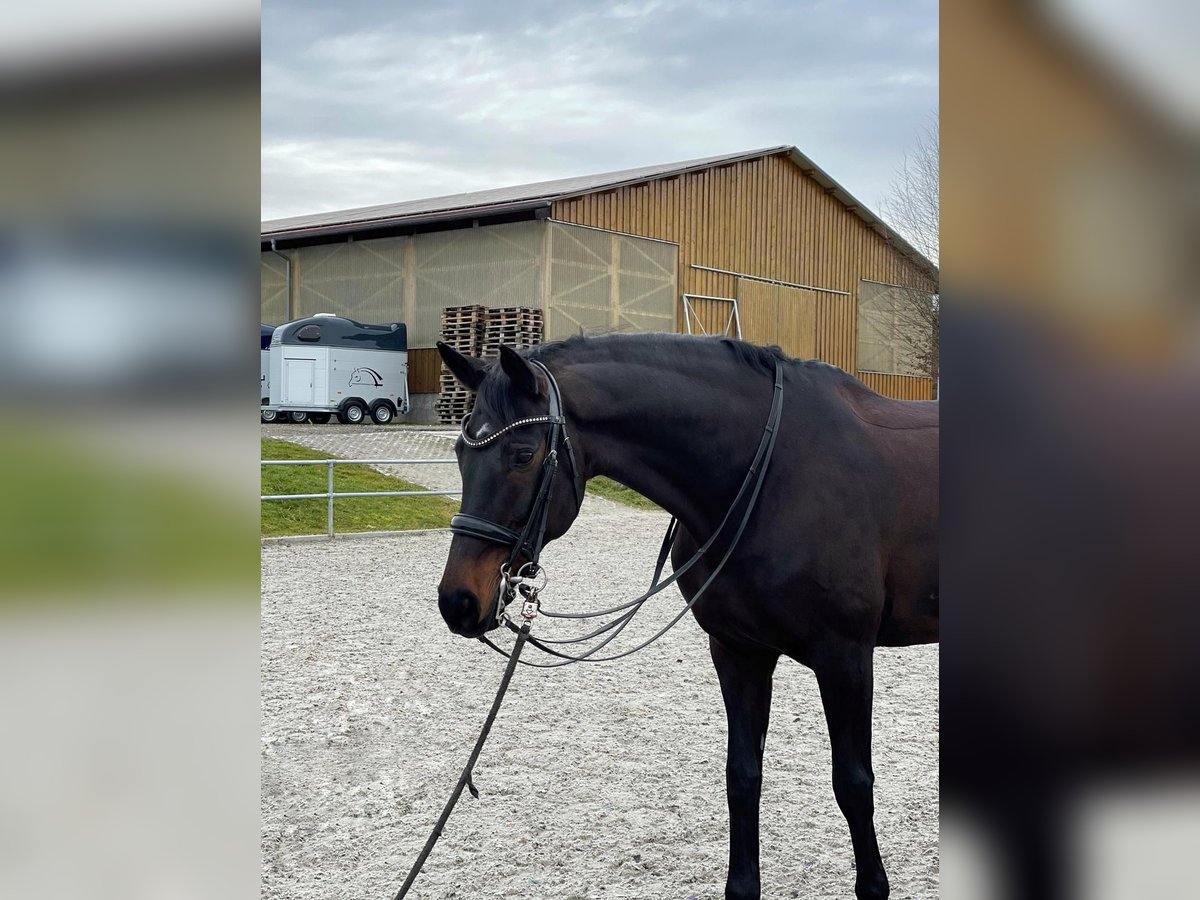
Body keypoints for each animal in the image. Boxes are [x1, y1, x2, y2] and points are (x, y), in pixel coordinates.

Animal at [434, 336, 936, 900]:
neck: (774, 473)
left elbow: (852, 783)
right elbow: (742, 776)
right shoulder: (739, 653)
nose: (458, 601)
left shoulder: (844, 658)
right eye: (460, 454)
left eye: (522, 455)